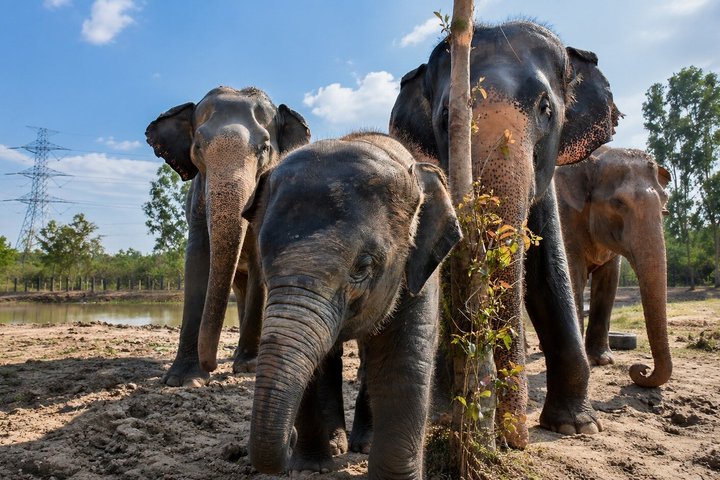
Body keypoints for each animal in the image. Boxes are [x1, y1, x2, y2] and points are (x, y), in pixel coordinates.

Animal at [145, 86, 310, 386]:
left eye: (264, 148)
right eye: (198, 147)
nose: (209, 365)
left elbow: (258, 262)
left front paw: (247, 367)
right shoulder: (197, 200)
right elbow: (198, 258)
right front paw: (184, 379)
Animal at [236, 132, 462, 478]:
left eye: (363, 266)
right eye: (263, 259)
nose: (287, 442)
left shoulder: (419, 273)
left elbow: (404, 362)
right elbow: (314, 361)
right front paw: (310, 468)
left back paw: (362, 446)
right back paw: (336, 448)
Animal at [389, 20, 620, 447]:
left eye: (546, 108)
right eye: (446, 117)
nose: (511, 439)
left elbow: (550, 277)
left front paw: (576, 426)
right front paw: (445, 415)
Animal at [555, 147, 672, 387]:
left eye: (665, 205)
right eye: (618, 203)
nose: (641, 369)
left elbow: (610, 280)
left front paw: (603, 360)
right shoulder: (565, 216)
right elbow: (573, 272)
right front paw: (587, 361)